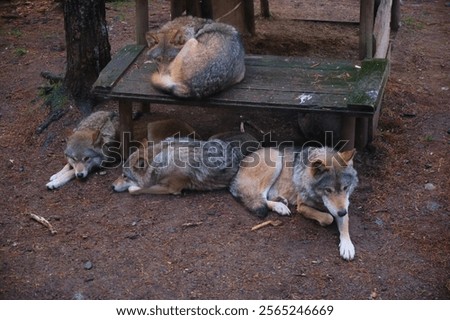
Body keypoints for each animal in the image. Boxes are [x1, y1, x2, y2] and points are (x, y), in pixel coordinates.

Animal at [112, 132, 260, 195]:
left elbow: (136, 190)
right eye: (121, 174)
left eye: (125, 176)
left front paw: (135, 188)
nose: (111, 186)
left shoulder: (171, 189)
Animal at [229, 146, 358, 262]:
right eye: (328, 190)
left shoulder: (344, 205)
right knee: (260, 197)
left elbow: (344, 226)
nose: (342, 212)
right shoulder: (301, 206)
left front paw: (347, 246)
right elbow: (328, 218)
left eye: (345, 188)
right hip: (276, 157)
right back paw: (280, 207)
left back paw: (281, 201)